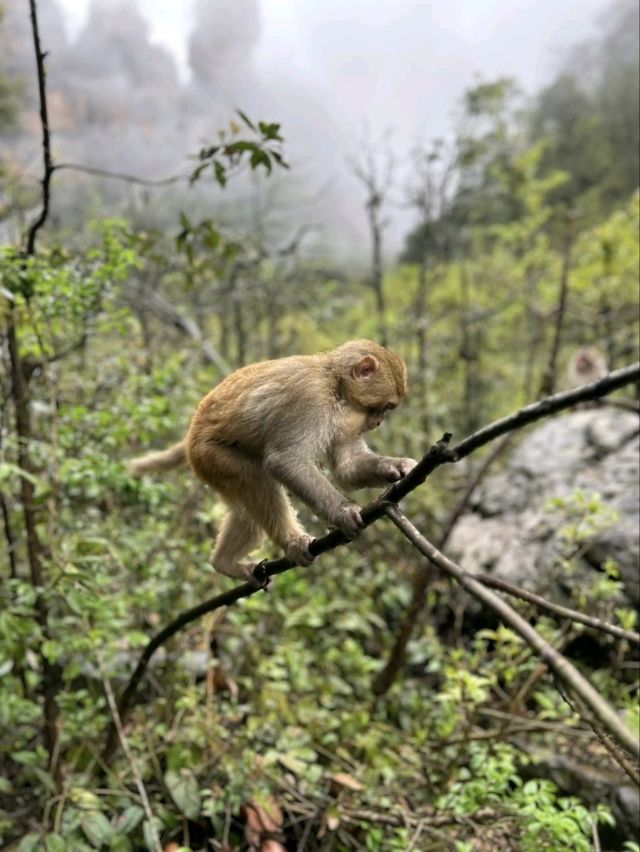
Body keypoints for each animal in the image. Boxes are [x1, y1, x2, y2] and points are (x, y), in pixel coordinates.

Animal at [129, 340, 420, 584]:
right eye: (383, 407)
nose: (378, 422)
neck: (335, 385)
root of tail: (191, 431)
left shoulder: (349, 420)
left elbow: (347, 470)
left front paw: (399, 467)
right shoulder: (309, 398)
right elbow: (286, 461)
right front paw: (344, 513)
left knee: (244, 512)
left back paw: (224, 563)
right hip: (209, 455)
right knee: (258, 479)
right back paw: (291, 542)